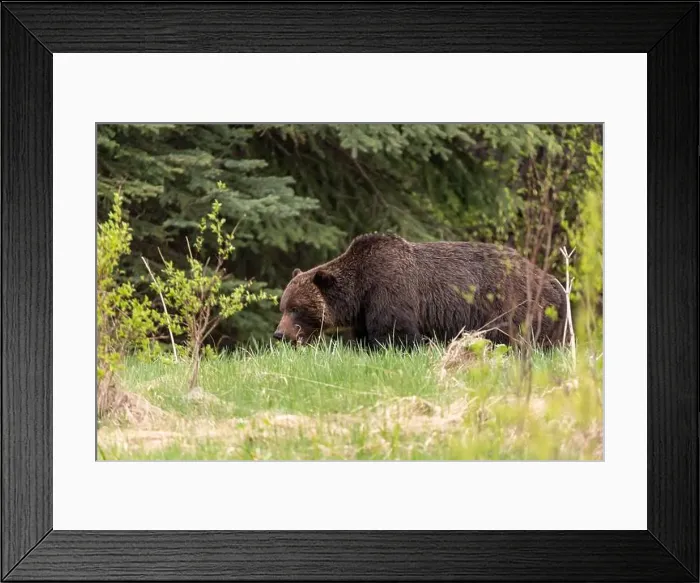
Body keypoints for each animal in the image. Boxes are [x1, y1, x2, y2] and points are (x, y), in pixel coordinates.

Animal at [273, 233, 569, 349]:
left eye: (296, 309)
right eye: (283, 306)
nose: (279, 334)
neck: (360, 290)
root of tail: (555, 282)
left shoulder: (390, 289)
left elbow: (396, 333)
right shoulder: (366, 310)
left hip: (513, 306)